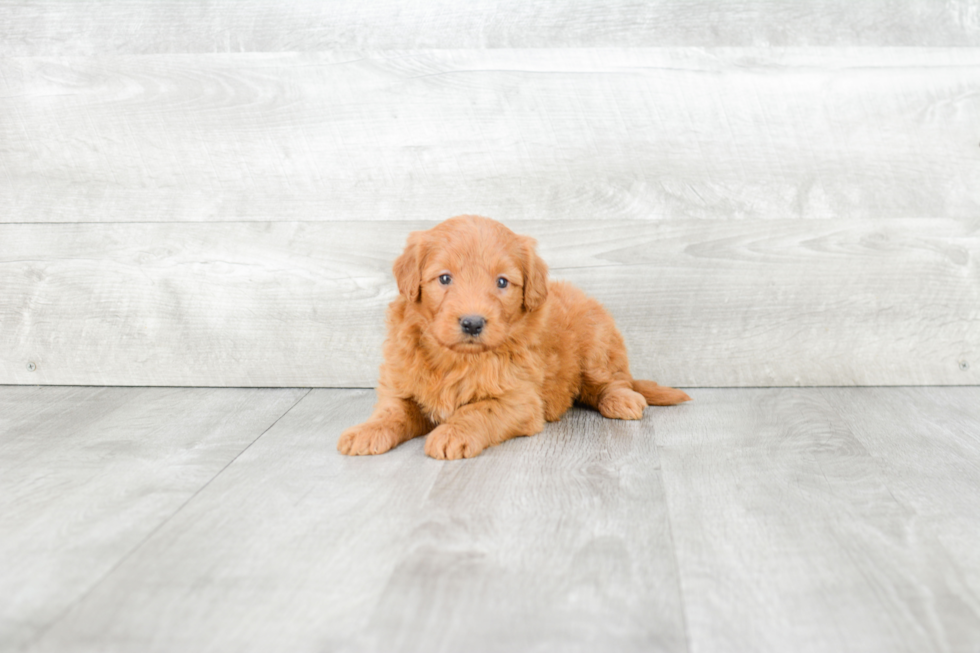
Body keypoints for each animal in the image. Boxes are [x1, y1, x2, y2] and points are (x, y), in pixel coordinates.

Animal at [340, 214, 692, 458]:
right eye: (444, 278)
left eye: (502, 282)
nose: (472, 323)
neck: (456, 359)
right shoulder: (400, 386)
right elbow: (392, 411)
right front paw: (366, 431)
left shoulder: (519, 400)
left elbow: (477, 410)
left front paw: (452, 433)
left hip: (597, 346)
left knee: (611, 382)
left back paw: (622, 399)